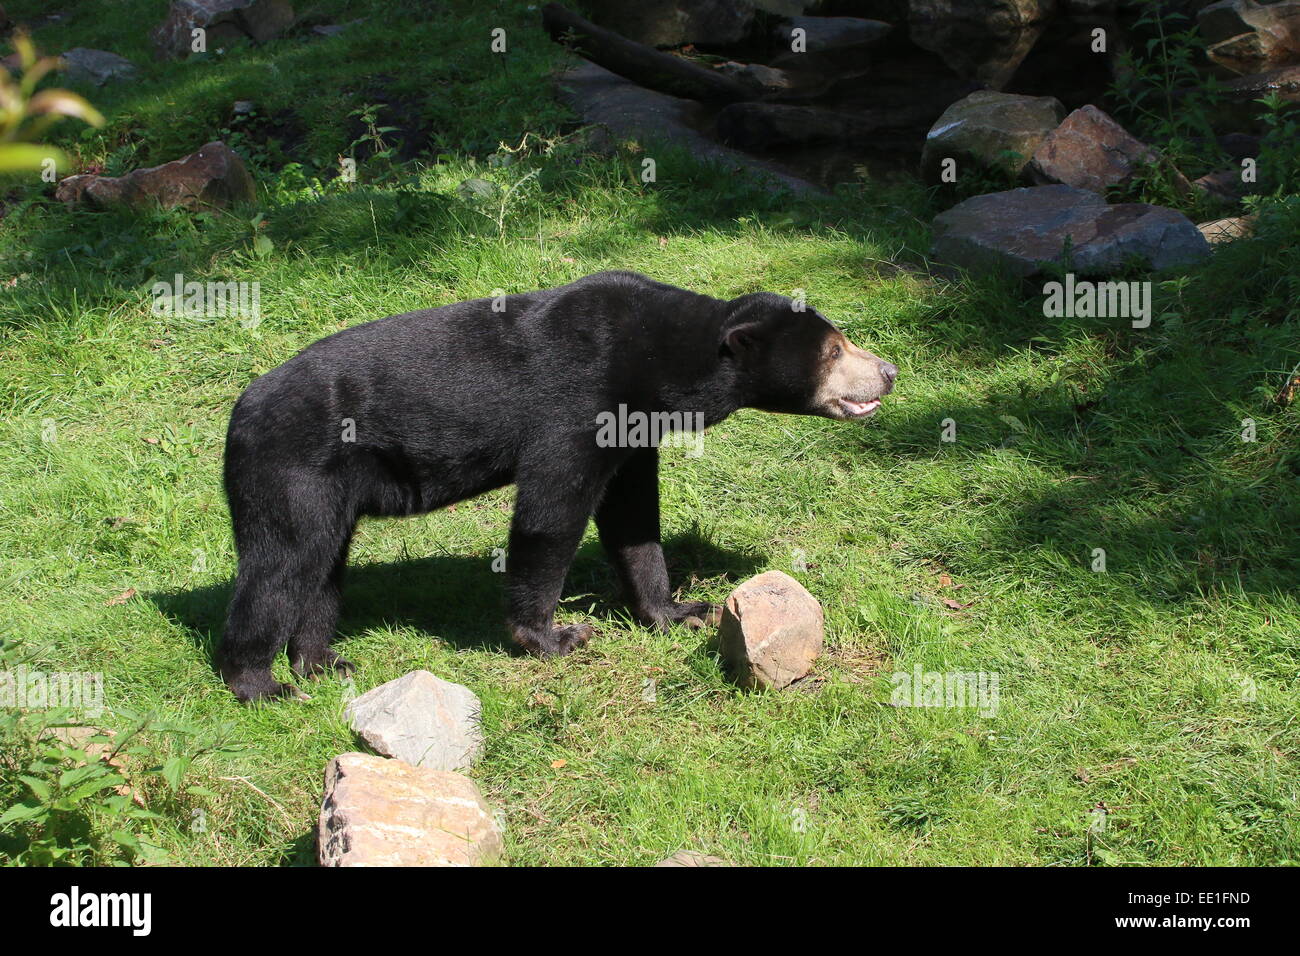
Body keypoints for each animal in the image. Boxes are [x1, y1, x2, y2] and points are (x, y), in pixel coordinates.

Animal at [218, 270, 899, 702]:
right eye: (836, 350)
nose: (889, 372)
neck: (657, 362)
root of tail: (237, 414)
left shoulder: (632, 432)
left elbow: (632, 517)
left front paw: (679, 610)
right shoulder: (580, 402)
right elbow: (551, 511)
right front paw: (555, 636)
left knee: (320, 570)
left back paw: (324, 662)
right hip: (291, 471)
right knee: (280, 565)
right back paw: (261, 684)